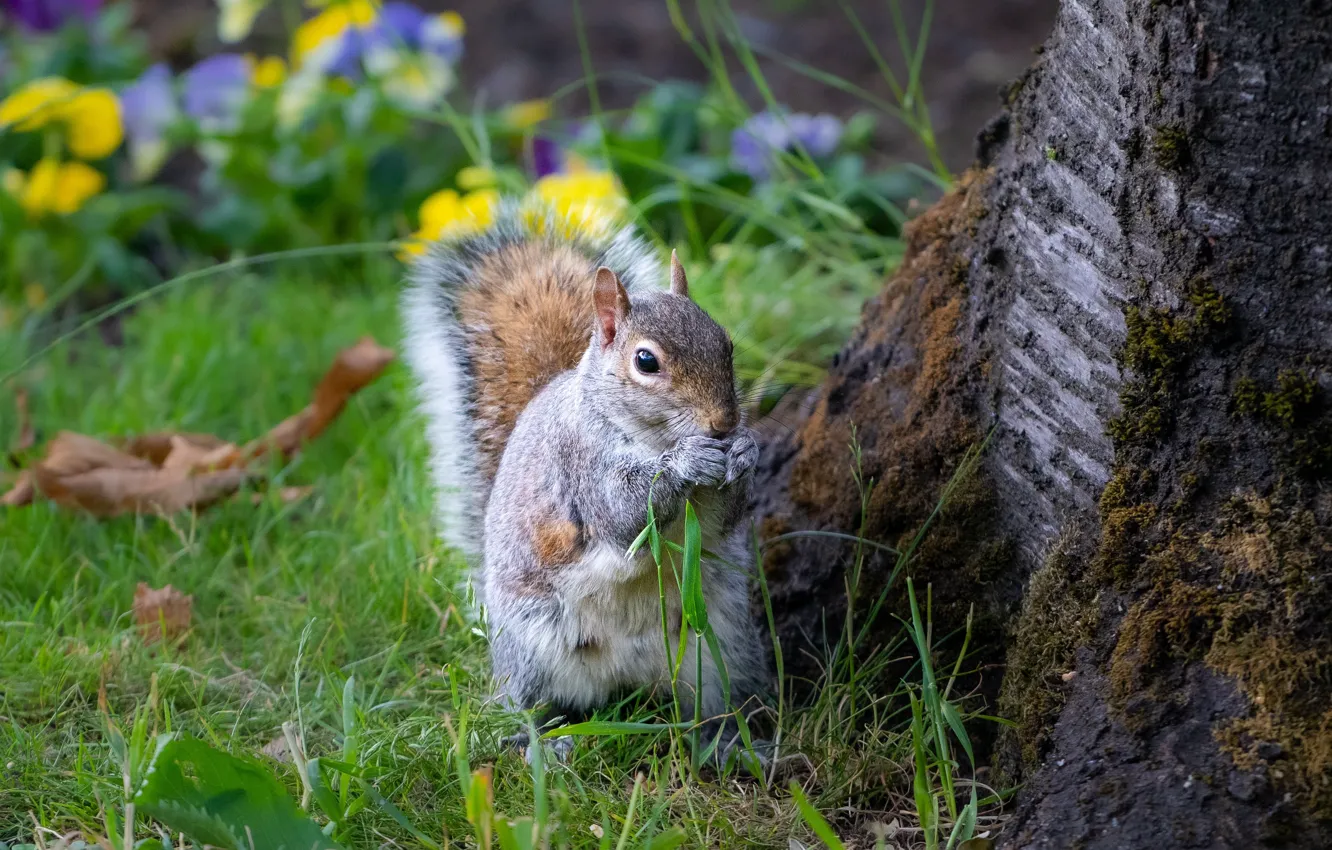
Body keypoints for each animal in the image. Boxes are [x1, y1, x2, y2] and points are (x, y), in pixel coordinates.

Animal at [399, 207, 767, 767]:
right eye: (646, 361)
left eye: (726, 343)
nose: (723, 424)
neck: (646, 435)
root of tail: (628, 675)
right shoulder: (581, 463)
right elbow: (625, 514)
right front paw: (685, 462)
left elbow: (725, 518)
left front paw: (745, 452)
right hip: (533, 647)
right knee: (527, 708)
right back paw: (542, 745)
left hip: (716, 646)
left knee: (707, 707)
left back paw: (727, 745)